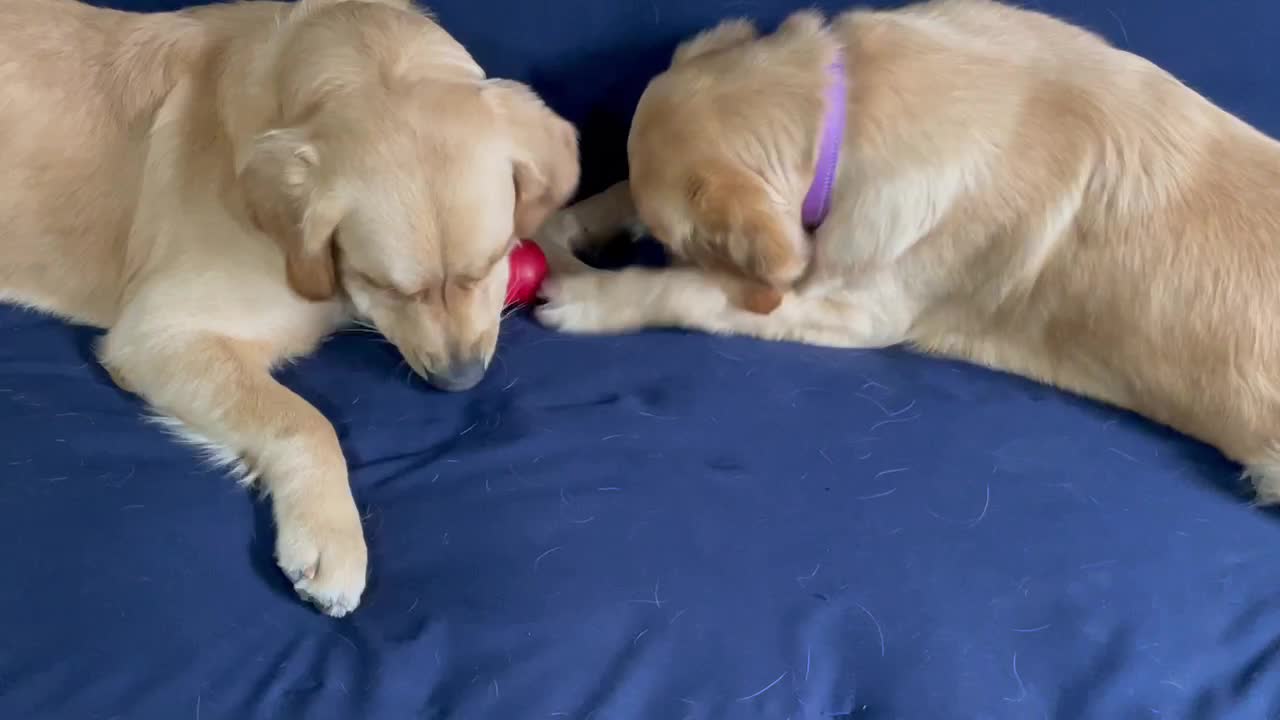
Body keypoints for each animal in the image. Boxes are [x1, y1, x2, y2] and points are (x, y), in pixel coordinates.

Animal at [0, 0, 578, 614]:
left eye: (490, 263)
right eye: (386, 285)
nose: (460, 381)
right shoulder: (160, 332)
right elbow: (304, 421)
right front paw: (331, 537)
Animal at [532, 0, 1280, 499]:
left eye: (670, 243)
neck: (844, 107)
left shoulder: (857, 311)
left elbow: (691, 290)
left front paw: (591, 295)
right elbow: (619, 191)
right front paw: (558, 222)